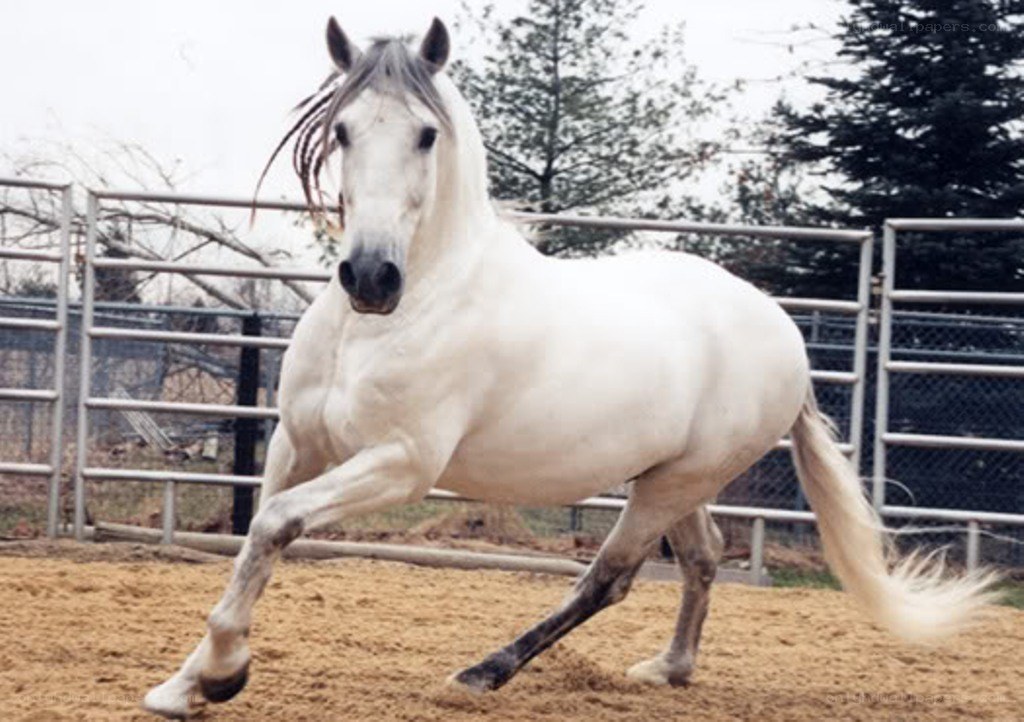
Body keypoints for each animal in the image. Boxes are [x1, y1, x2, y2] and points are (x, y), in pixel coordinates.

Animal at [142, 17, 995, 719]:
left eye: (425, 135)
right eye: (344, 129)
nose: (372, 278)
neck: (398, 315)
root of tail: (782, 332)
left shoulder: (401, 464)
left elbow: (276, 527)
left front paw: (219, 676)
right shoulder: (298, 442)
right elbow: (256, 538)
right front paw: (189, 683)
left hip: (668, 486)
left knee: (611, 577)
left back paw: (483, 674)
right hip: (672, 478)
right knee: (703, 558)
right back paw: (668, 669)